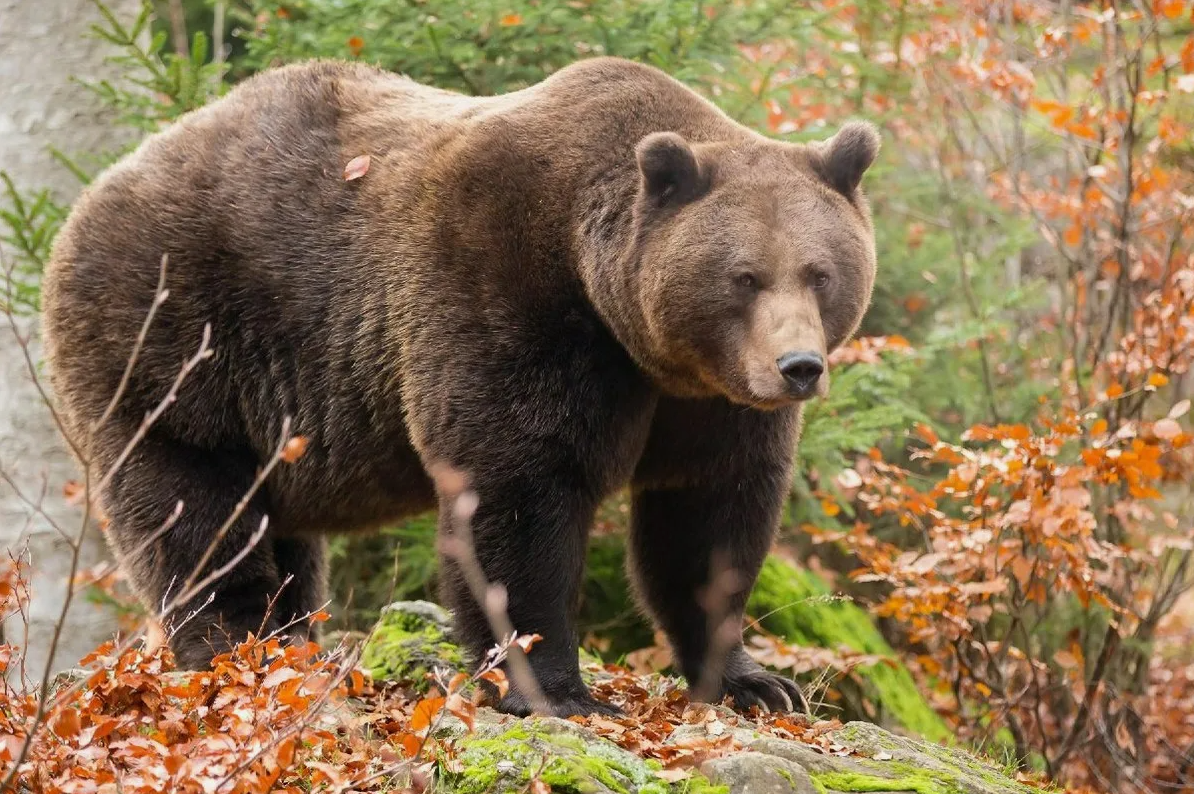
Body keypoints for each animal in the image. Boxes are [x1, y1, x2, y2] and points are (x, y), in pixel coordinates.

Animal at [42, 54, 883, 711]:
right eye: (744, 277)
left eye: (821, 273)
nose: (798, 367)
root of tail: (90, 196)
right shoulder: (504, 293)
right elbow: (516, 489)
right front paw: (555, 689)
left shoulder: (705, 399)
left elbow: (708, 516)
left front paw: (754, 680)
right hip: (175, 332)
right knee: (191, 504)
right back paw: (237, 650)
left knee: (278, 530)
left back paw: (291, 643)